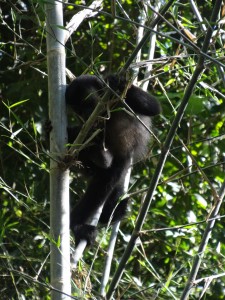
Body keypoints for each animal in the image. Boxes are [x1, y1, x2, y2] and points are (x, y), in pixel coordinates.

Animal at [66, 74, 161, 245]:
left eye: (87, 103)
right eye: (78, 111)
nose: (86, 115)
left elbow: (153, 107)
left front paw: (116, 80)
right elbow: (84, 132)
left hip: (121, 161)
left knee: (107, 180)